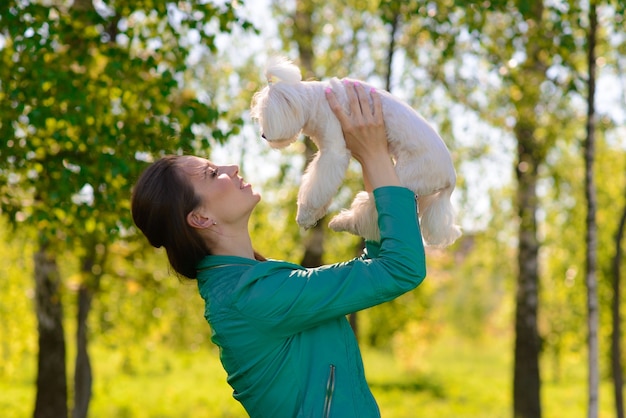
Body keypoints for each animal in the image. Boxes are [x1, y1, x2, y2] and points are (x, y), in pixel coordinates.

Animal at [249, 57, 458, 247]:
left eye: (265, 115)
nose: (263, 135)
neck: (315, 102)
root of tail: (450, 177)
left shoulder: (333, 152)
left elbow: (316, 186)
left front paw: (305, 215)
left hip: (405, 177)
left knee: (369, 214)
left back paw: (342, 223)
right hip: (421, 192)